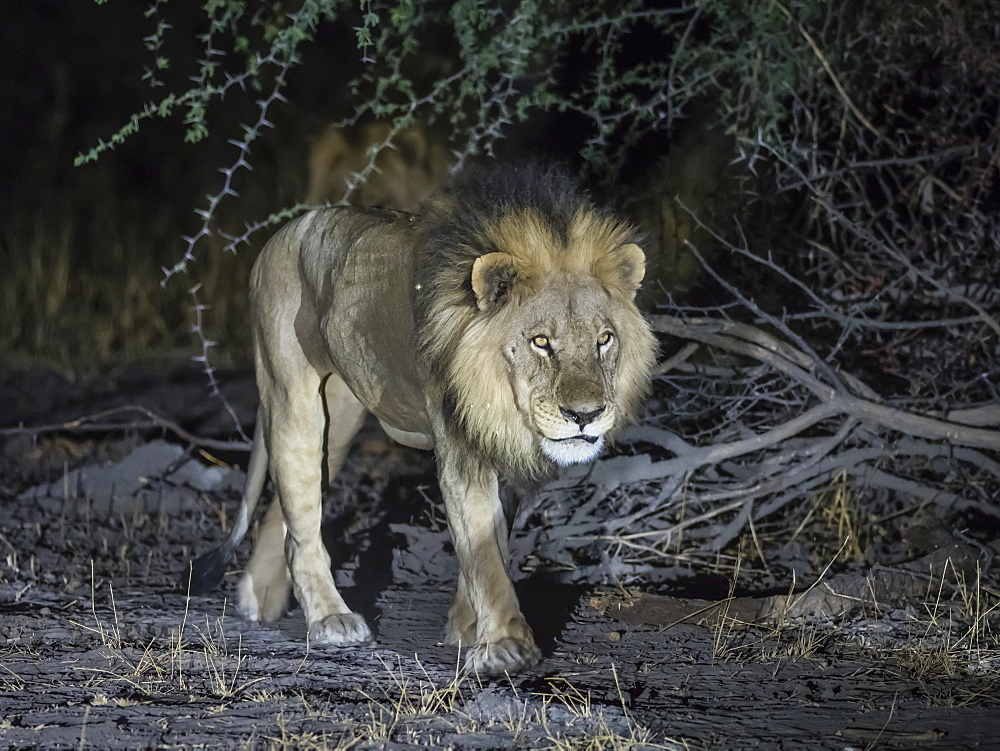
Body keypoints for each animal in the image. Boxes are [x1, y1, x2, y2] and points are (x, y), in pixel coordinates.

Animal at [191, 163, 660, 676]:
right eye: (540, 342)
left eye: (604, 339)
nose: (585, 415)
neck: (500, 395)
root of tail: (278, 236)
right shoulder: (461, 447)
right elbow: (484, 552)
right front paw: (503, 646)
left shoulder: (501, 450)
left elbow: (490, 543)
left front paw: (466, 628)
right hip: (293, 398)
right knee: (301, 517)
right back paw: (330, 619)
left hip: (340, 418)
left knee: (287, 505)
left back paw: (258, 599)